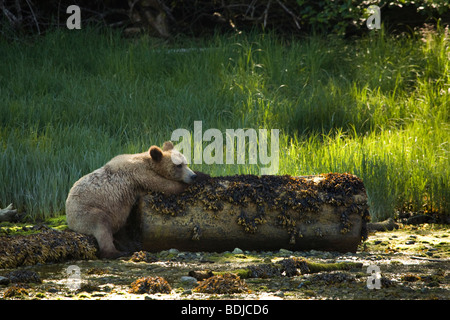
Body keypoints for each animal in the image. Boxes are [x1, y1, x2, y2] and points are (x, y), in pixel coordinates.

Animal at [66, 141, 196, 258]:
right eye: (178, 165)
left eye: (186, 163)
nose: (192, 176)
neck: (148, 163)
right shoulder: (140, 173)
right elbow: (165, 185)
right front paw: (198, 178)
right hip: (85, 212)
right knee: (101, 225)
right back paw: (115, 252)